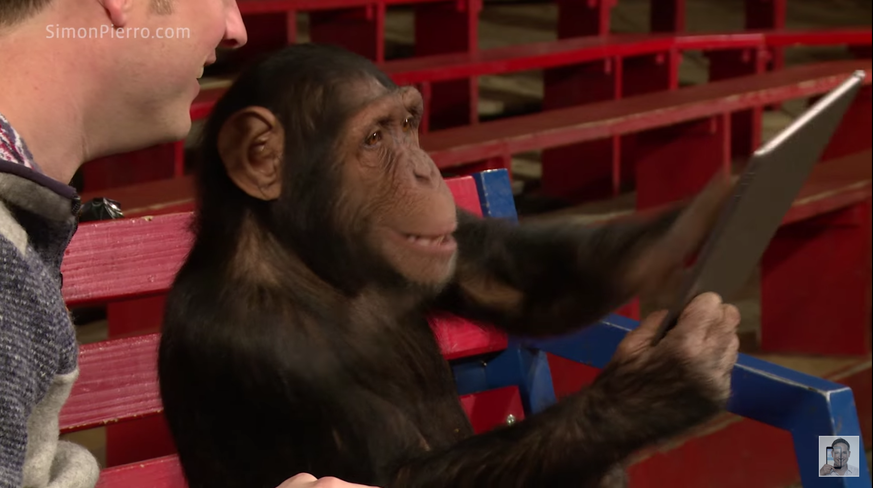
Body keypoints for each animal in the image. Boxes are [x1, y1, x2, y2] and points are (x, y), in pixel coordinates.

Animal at [158, 43, 744, 488]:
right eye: (374, 138)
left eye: (407, 124)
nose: (425, 170)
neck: (308, 261)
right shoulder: (255, 344)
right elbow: (392, 475)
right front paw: (658, 386)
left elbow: (511, 280)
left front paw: (695, 220)